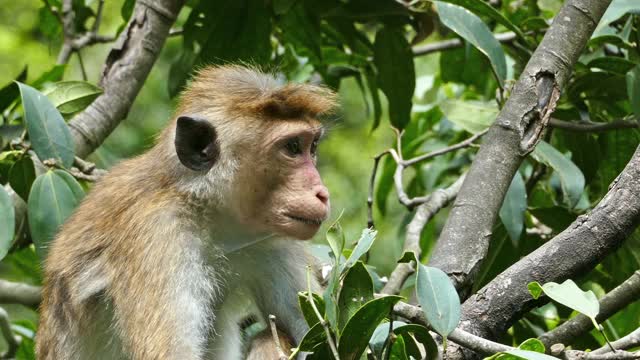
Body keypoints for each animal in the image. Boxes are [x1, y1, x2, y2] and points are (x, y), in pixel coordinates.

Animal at [35, 65, 338, 360]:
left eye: (312, 146)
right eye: (292, 148)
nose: (322, 193)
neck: (209, 219)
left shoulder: (272, 244)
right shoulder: (157, 236)